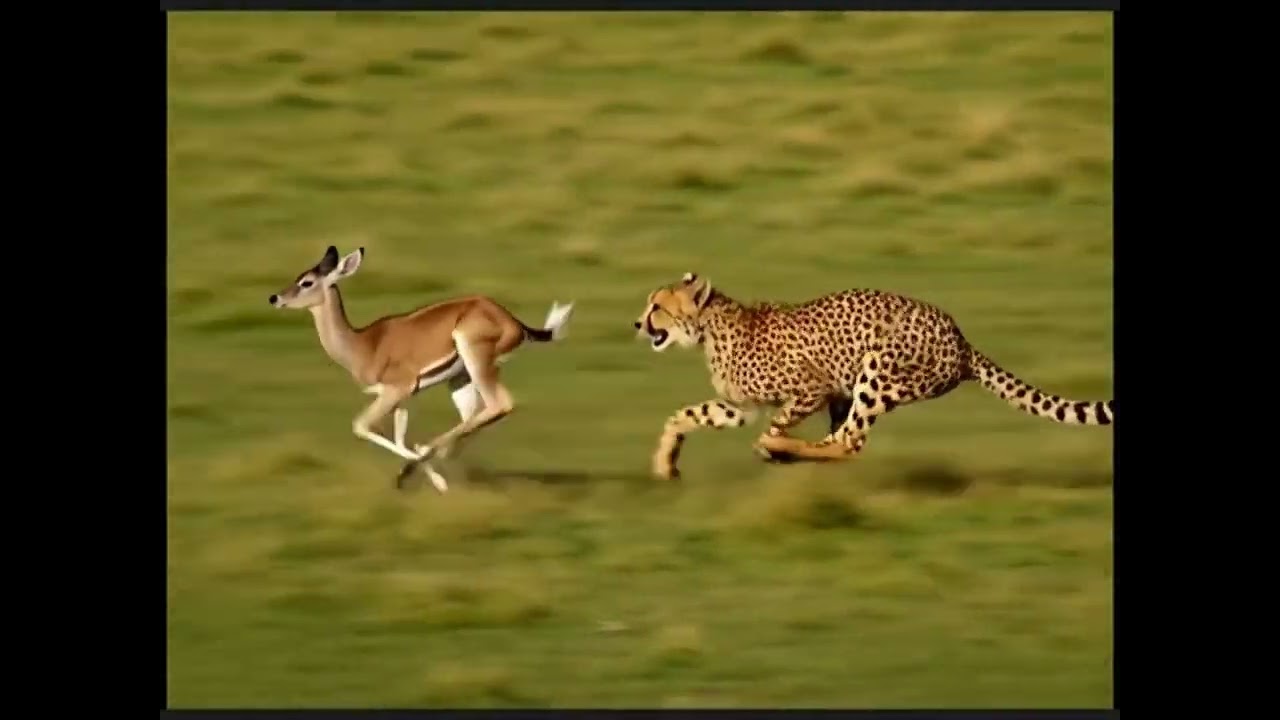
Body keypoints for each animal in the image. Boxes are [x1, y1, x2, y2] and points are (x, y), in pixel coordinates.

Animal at [633, 272, 1113, 481]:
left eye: (657, 306)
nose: (637, 323)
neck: (710, 327)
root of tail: (960, 338)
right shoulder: (740, 406)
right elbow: (687, 415)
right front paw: (665, 461)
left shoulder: (810, 390)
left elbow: (777, 421)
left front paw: (772, 442)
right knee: (841, 439)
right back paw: (789, 453)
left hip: (876, 370)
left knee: (849, 441)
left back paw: (782, 450)